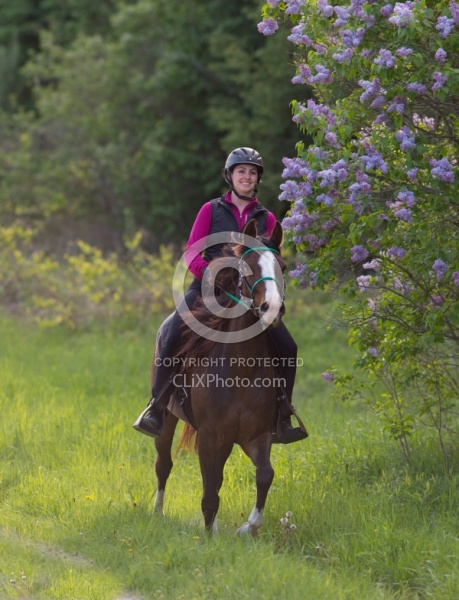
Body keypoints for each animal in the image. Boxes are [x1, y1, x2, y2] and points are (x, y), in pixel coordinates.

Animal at [155, 219, 290, 536]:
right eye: (248, 266)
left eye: (282, 266)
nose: (272, 309)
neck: (241, 371)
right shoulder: (209, 435)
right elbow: (209, 490)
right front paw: (209, 535)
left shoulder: (256, 436)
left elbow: (265, 474)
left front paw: (249, 527)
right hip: (168, 418)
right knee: (163, 463)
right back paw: (156, 512)